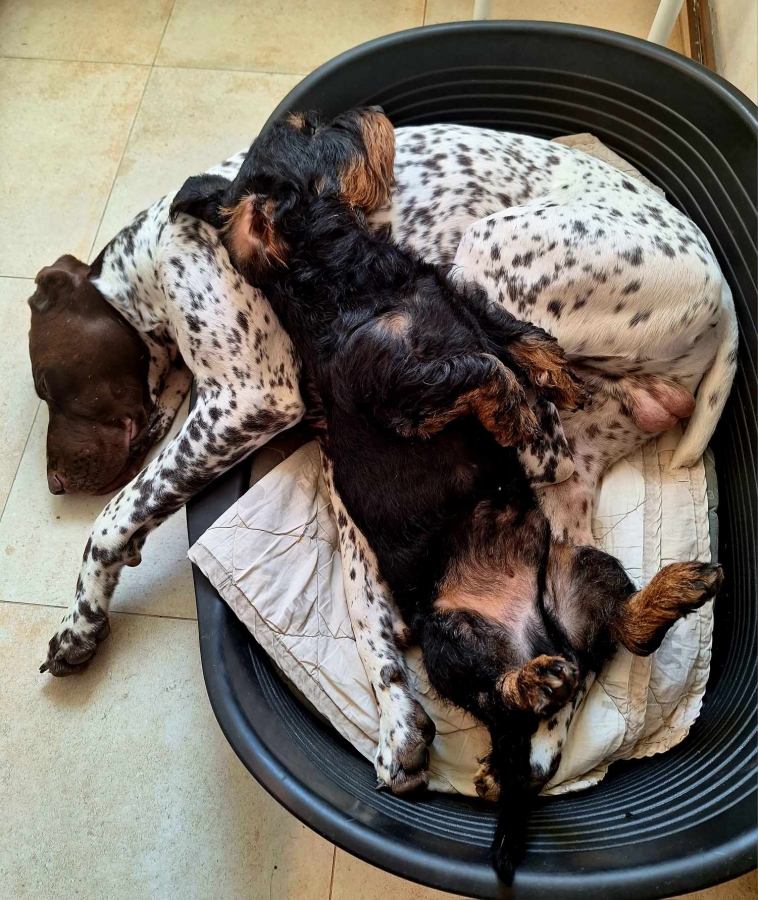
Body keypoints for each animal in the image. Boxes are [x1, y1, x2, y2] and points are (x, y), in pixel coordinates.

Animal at [32, 121, 735, 856]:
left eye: (45, 383)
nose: (53, 480)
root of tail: (725, 307)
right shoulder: (325, 438)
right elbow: (365, 603)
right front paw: (399, 716)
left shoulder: (249, 398)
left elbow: (113, 518)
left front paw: (81, 619)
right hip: (561, 500)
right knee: (573, 647)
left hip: (486, 254)